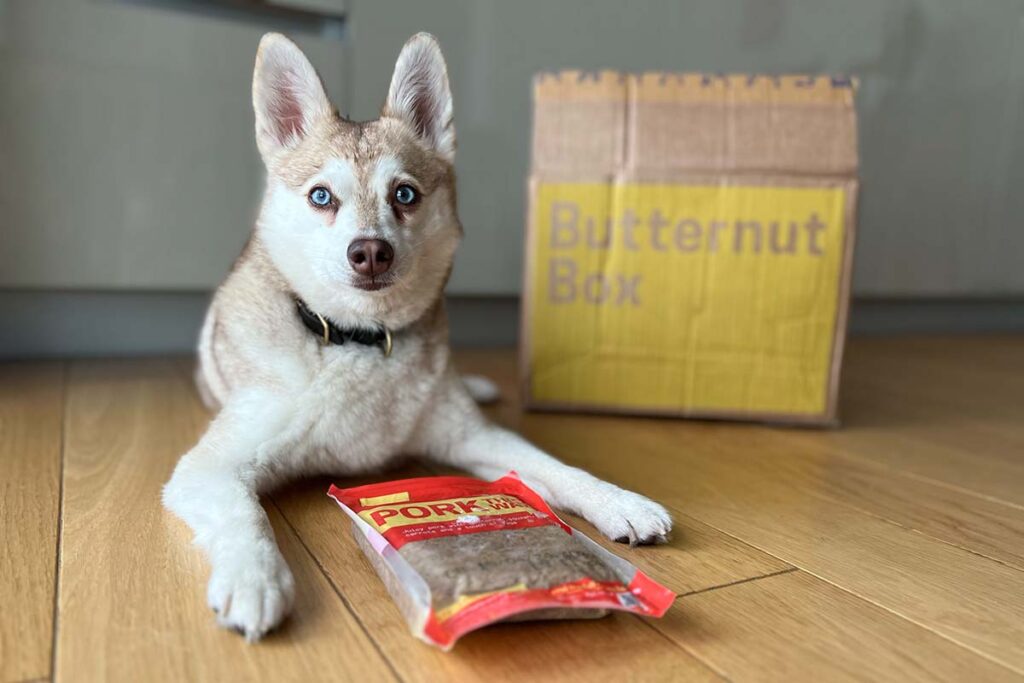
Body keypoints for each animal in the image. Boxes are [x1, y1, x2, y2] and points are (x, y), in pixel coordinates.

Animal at [161, 30, 671, 643]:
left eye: (404, 195)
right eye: (321, 196)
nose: (370, 252)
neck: (359, 339)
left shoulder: (472, 438)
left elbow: (554, 467)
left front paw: (617, 500)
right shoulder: (213, 467)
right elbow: (245, 515)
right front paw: (253, 578)